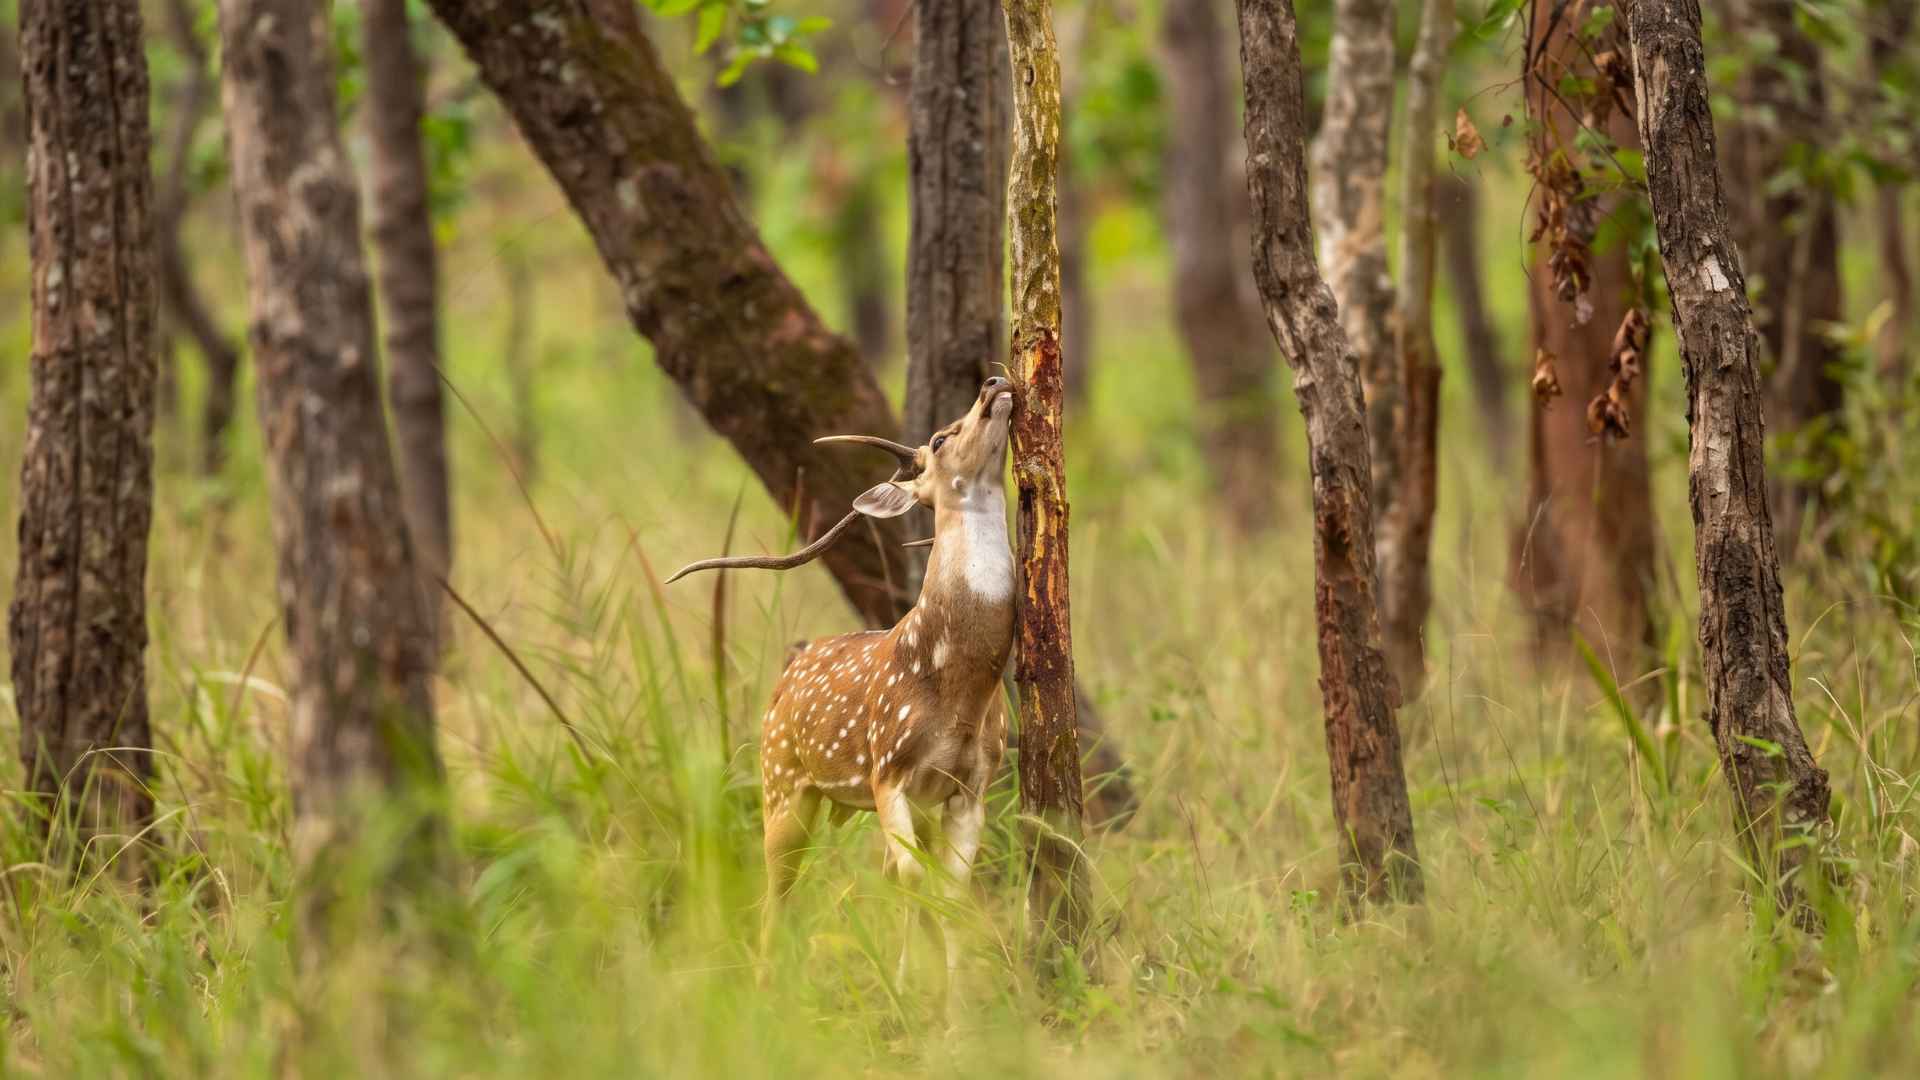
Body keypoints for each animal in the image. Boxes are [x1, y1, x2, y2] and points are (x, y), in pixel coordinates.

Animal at [668, 376, 1017, 994]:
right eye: (939, 436)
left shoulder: (972, 783)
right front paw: (908, 993)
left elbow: (948, 892)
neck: (958, 689)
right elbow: (911, 879)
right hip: (781, 781)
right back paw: (766, 987)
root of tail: (791, 664)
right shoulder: (888, 768)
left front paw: (951, 1001)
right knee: (777, 888)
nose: (994, 382)